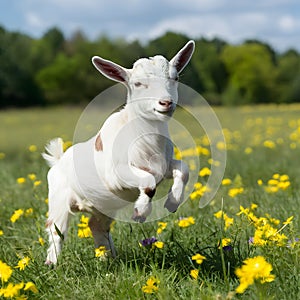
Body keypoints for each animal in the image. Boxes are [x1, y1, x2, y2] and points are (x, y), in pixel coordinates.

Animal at [43, 40, 196, 264]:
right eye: (138, 84)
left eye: (174, 78)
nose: (166, 103)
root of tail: (58, 160)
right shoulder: (115, 176)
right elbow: (148, 183)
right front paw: (140, 212)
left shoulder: (163, 166)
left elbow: (183, 169)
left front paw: (173, 201)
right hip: (59, 198)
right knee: (56, 230)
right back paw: (52, 263)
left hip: (103, 206)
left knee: (96, 226)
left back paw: (107, 259)